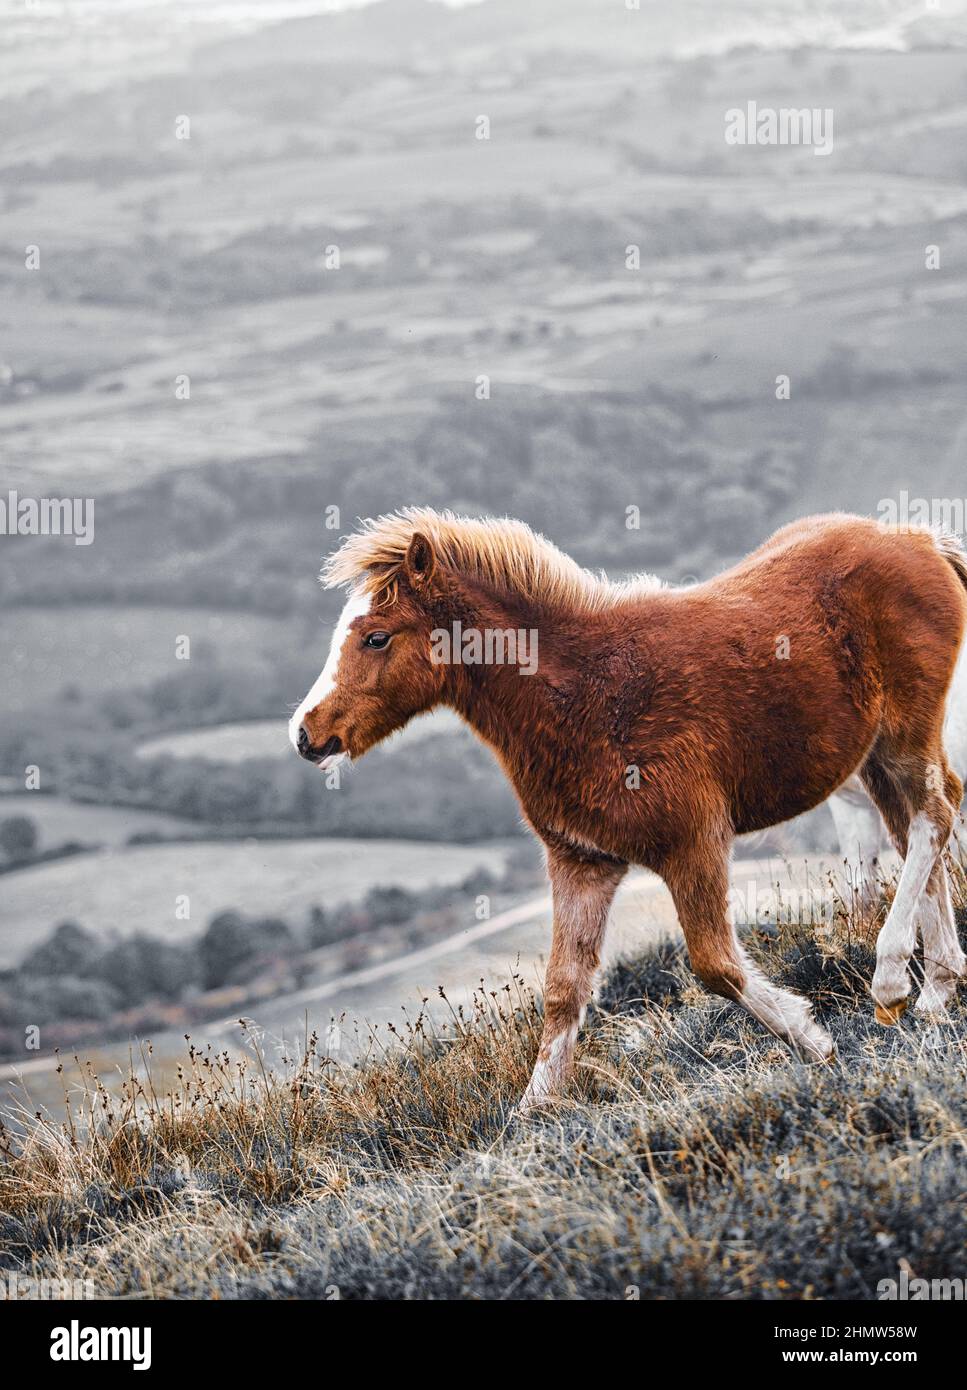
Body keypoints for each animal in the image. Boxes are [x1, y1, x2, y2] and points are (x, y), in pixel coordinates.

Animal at [287, 511, 967, 1106]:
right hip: (872, 754)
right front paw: (530, 1118)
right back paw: (938, 988)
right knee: (917, 831)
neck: (586, 695)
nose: (305, 734)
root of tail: (918, 539)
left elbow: (715, 964)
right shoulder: (581, 862)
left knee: (934, 816)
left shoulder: (693, 842)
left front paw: (810, 1038)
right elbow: (563, 990)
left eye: (376, 637)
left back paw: (892, 980)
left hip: (905, 730)